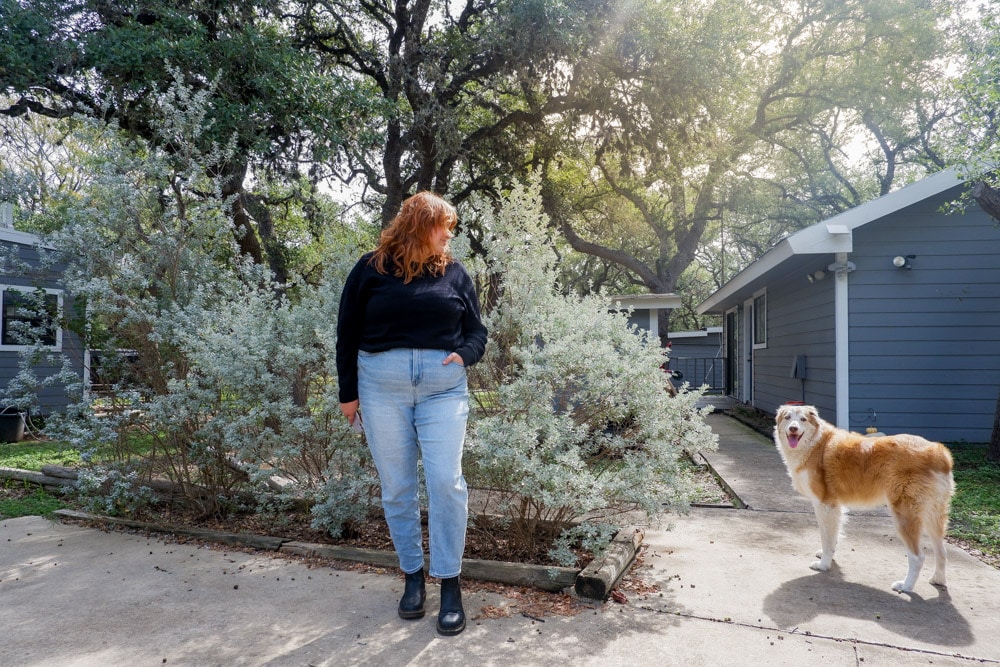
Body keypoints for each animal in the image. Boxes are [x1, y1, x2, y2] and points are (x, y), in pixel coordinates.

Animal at [773, 404, 954, 592]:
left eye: (803, 419)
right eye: (787, 417)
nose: (793, 429)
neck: (815, 444)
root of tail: (938, 453)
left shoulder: (825, 505)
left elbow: (826, 537)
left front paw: (824, 564)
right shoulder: (835, 506)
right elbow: (833, 536)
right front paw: (827, 555)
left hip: (904, 516)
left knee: (918, 557)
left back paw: (905, 586)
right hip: (933, 516)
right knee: (942, 552)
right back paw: (938, 580)